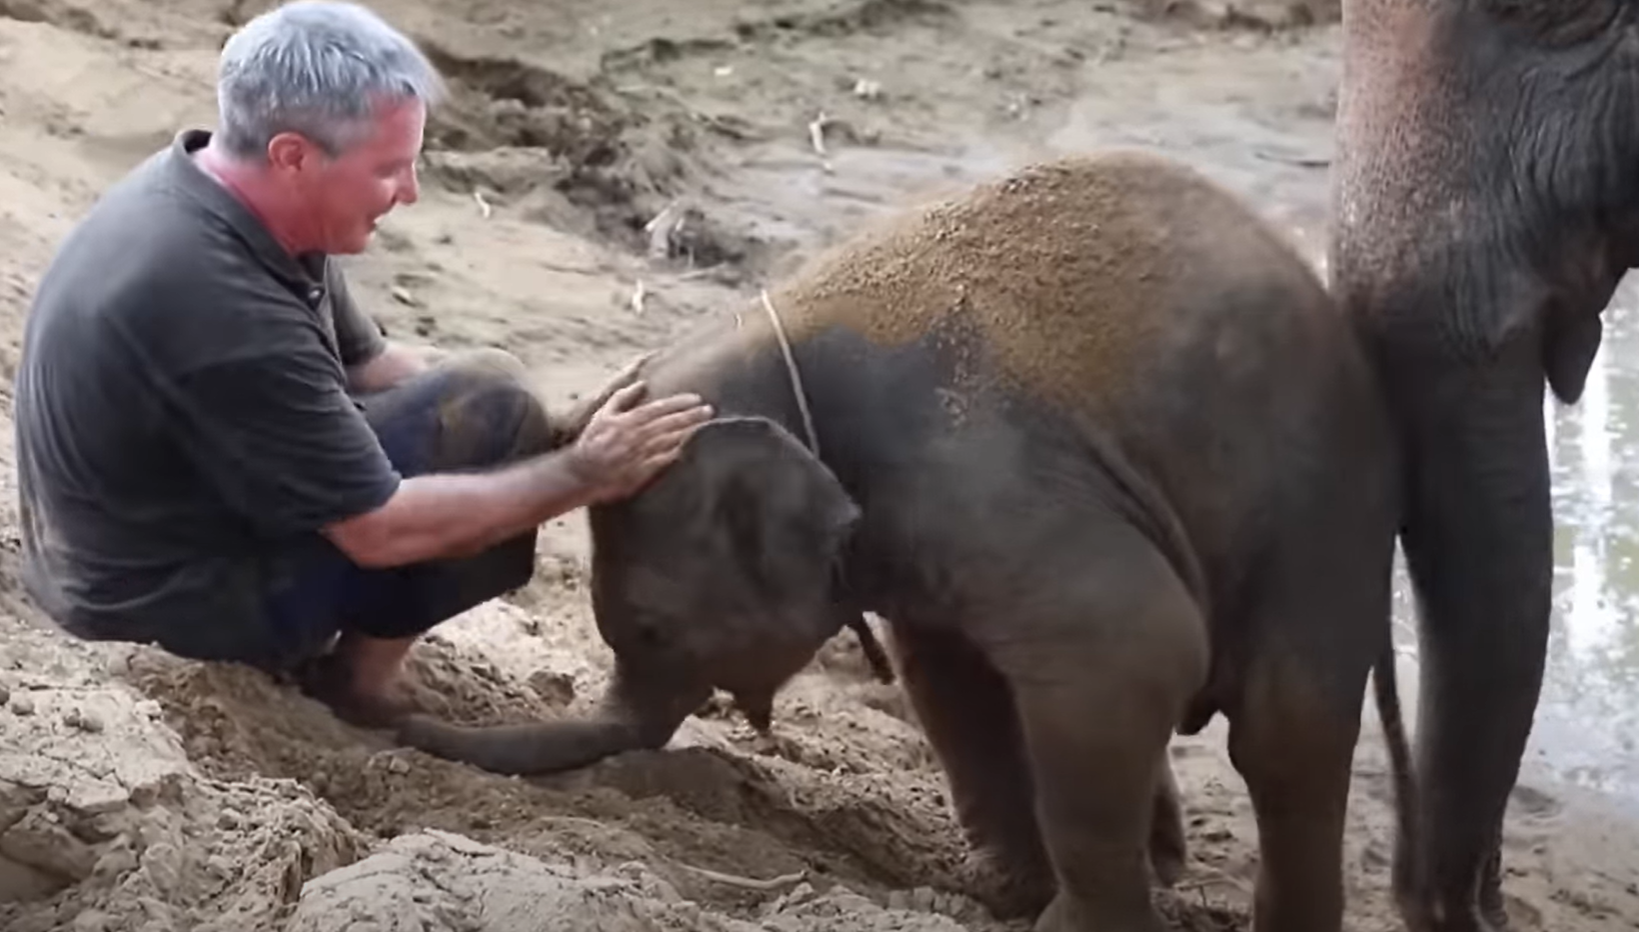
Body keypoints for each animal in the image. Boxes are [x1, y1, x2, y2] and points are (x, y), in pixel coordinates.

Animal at [396, 150, 1409, 930]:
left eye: (649, 628)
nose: (388, 719)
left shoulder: (976, 473)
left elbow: (1130, 647)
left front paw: (1061, 921)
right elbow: (951, 676)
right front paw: (995, 891)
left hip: (1322, 520)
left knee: (1284, 734)